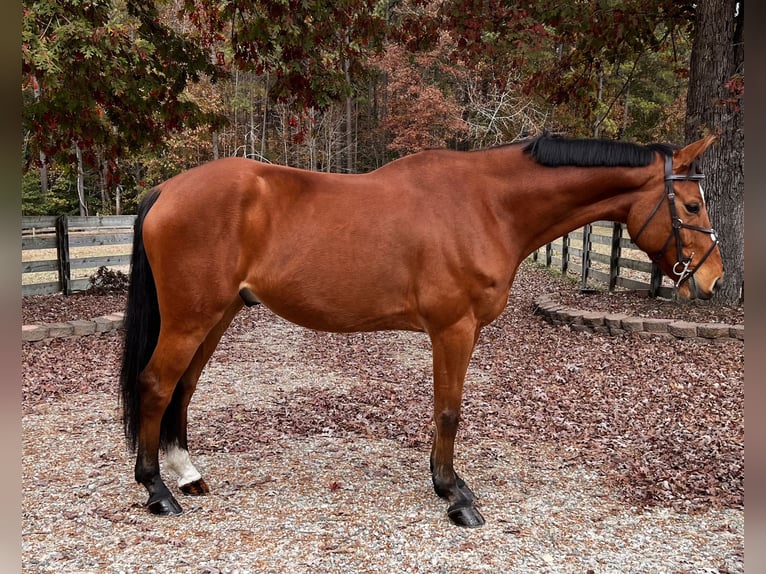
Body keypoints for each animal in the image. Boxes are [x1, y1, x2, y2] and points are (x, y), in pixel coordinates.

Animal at [120, 135, 728, 532]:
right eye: (691, 204)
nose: (713, 280)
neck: (488, 205)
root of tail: (166, 190)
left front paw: (448, 485)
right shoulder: (454, 329)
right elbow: (449, 410)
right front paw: (456, 496)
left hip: (217, 315)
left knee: (183, 388)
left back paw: (186, 474)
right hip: (191, 318)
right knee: (156, 385)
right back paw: (156, 491)